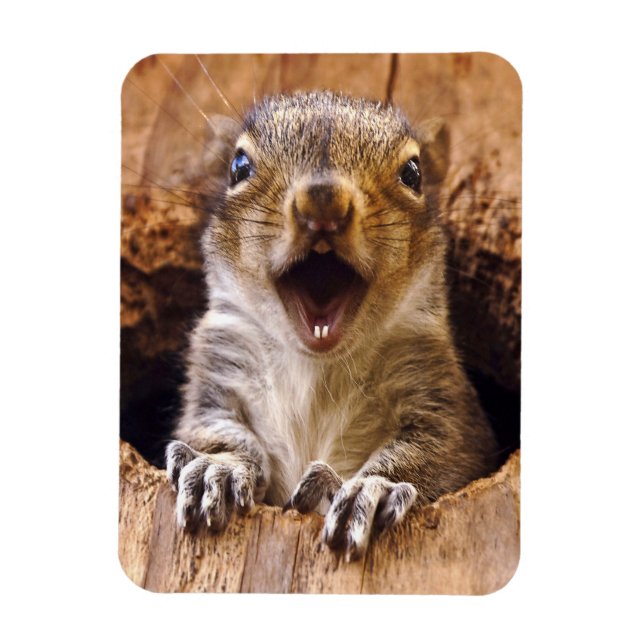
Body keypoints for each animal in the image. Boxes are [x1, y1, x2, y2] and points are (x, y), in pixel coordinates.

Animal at [165, 91, 498, 561]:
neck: (316, 364)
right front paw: (218, 468)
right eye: (238, 167)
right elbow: (214, 429)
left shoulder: (440, 396)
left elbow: (438, 450)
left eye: (413, 173)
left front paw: (372, 489)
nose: (322, 200)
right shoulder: (217, 369)